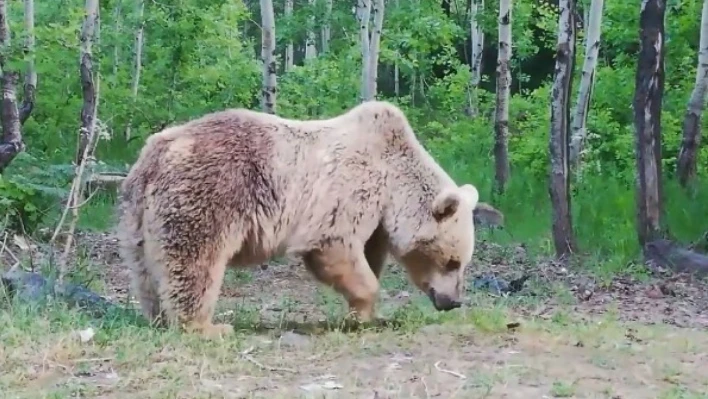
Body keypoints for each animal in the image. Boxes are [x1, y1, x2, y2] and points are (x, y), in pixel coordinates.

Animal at [116, 101, 504, 338]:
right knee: (196, 261)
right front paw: (363, 309)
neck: (393, 180)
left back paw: (158, 316)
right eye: (452, 261)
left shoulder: (377, 218)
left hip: (136, 216)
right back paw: (206, 327)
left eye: (462, 263)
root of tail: (155, 154)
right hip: (210, 194)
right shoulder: (348, 188)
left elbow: (368, 253)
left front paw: (361, 312)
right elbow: (332, 244)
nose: (453, 301)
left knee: (147, 269)